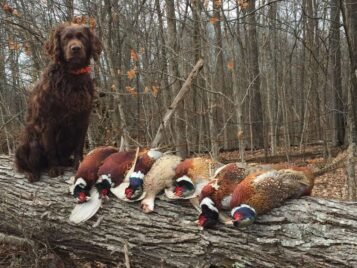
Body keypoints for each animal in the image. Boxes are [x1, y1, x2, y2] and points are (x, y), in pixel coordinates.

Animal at [15, 23, 101, 182]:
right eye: (66, 38)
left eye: (82, 37)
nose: (75, 48)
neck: (72, 76)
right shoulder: (48, 120)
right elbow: (51, 148)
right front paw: (54, 168)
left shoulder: (83, 118)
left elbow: (79, 145)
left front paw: (79, 163)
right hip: (30, 144)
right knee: (22, 164)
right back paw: (31, 172)